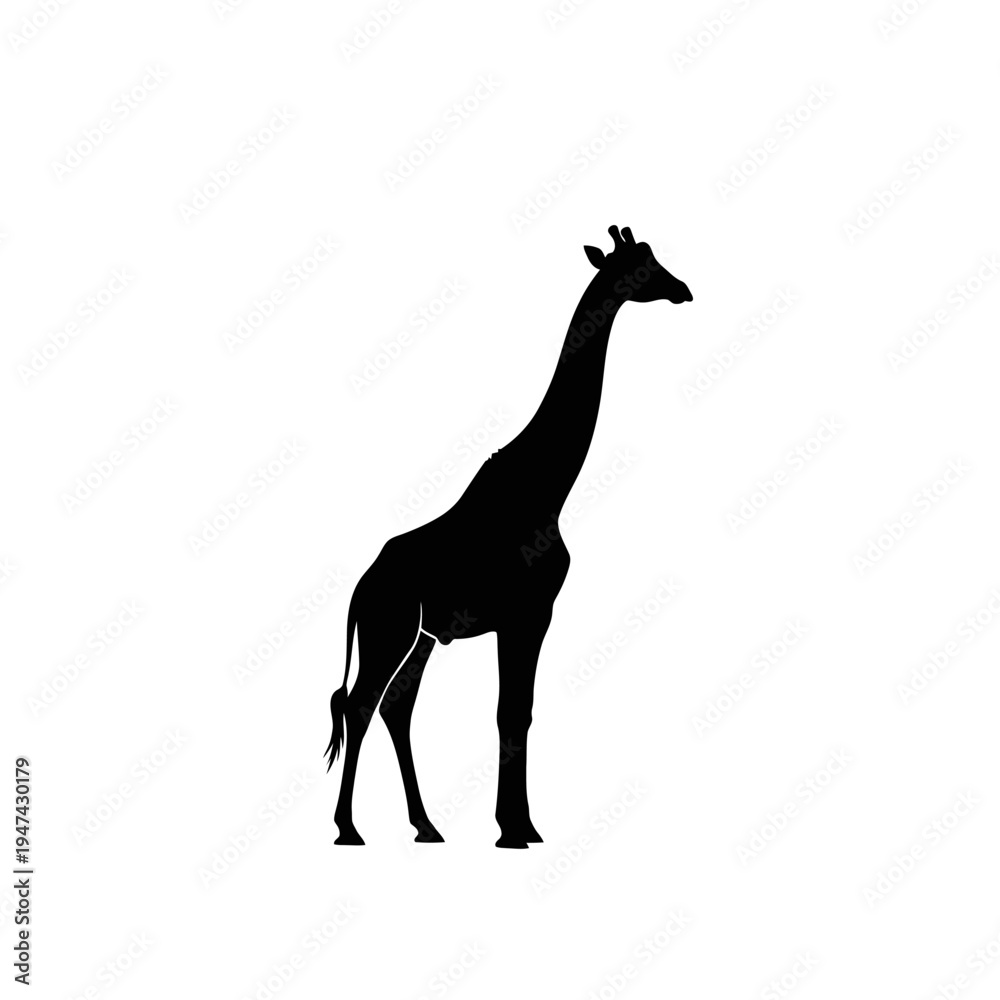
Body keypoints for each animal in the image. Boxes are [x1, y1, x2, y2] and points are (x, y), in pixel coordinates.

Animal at [326, 226, 692, 848]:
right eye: (639, 268)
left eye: (655, 258)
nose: (683, 289)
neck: (546, 486)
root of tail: (360, 590)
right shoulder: (528, 612)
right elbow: (511, 711)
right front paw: (514, 829)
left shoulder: (528, 615)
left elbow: (517, 710)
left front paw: (520, 825)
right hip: (388, 630)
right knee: (359, 705)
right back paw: (348, 829)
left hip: (422, 637)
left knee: (396, 706)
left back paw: (426, 826)